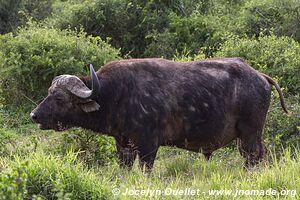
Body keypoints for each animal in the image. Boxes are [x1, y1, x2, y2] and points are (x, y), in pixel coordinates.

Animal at [30, 57, 288, 170]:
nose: (34, 115)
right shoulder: (123, 145)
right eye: (49, 92)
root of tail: (260, 76)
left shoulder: (148, 145)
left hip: (250, 134)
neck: (116, 95)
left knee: (254, 158)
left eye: (59, 98)